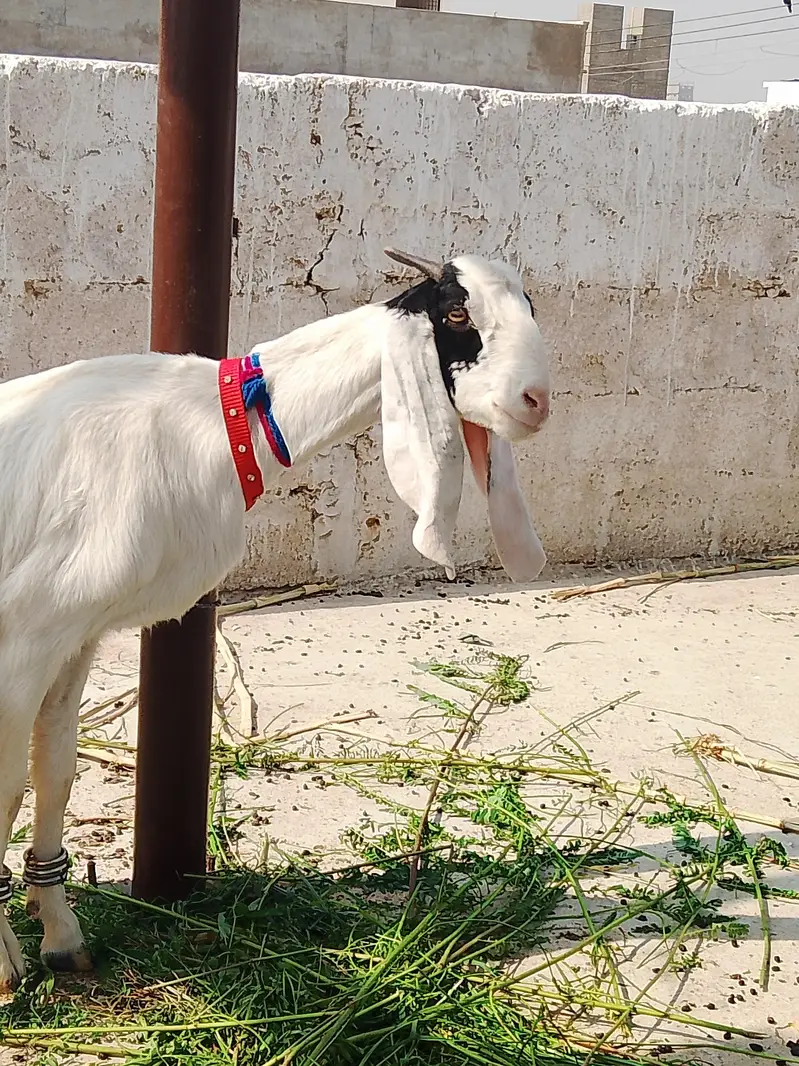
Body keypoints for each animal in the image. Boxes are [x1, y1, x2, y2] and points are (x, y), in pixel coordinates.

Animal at [0, 248, 551, 991]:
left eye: (530, 305)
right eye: (458, 314)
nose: (535, 401)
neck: (214, 423)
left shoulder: (72, 631)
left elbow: (53, 771)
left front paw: (61, 938)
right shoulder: (24, 634)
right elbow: (7, 785)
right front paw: (6, 966)